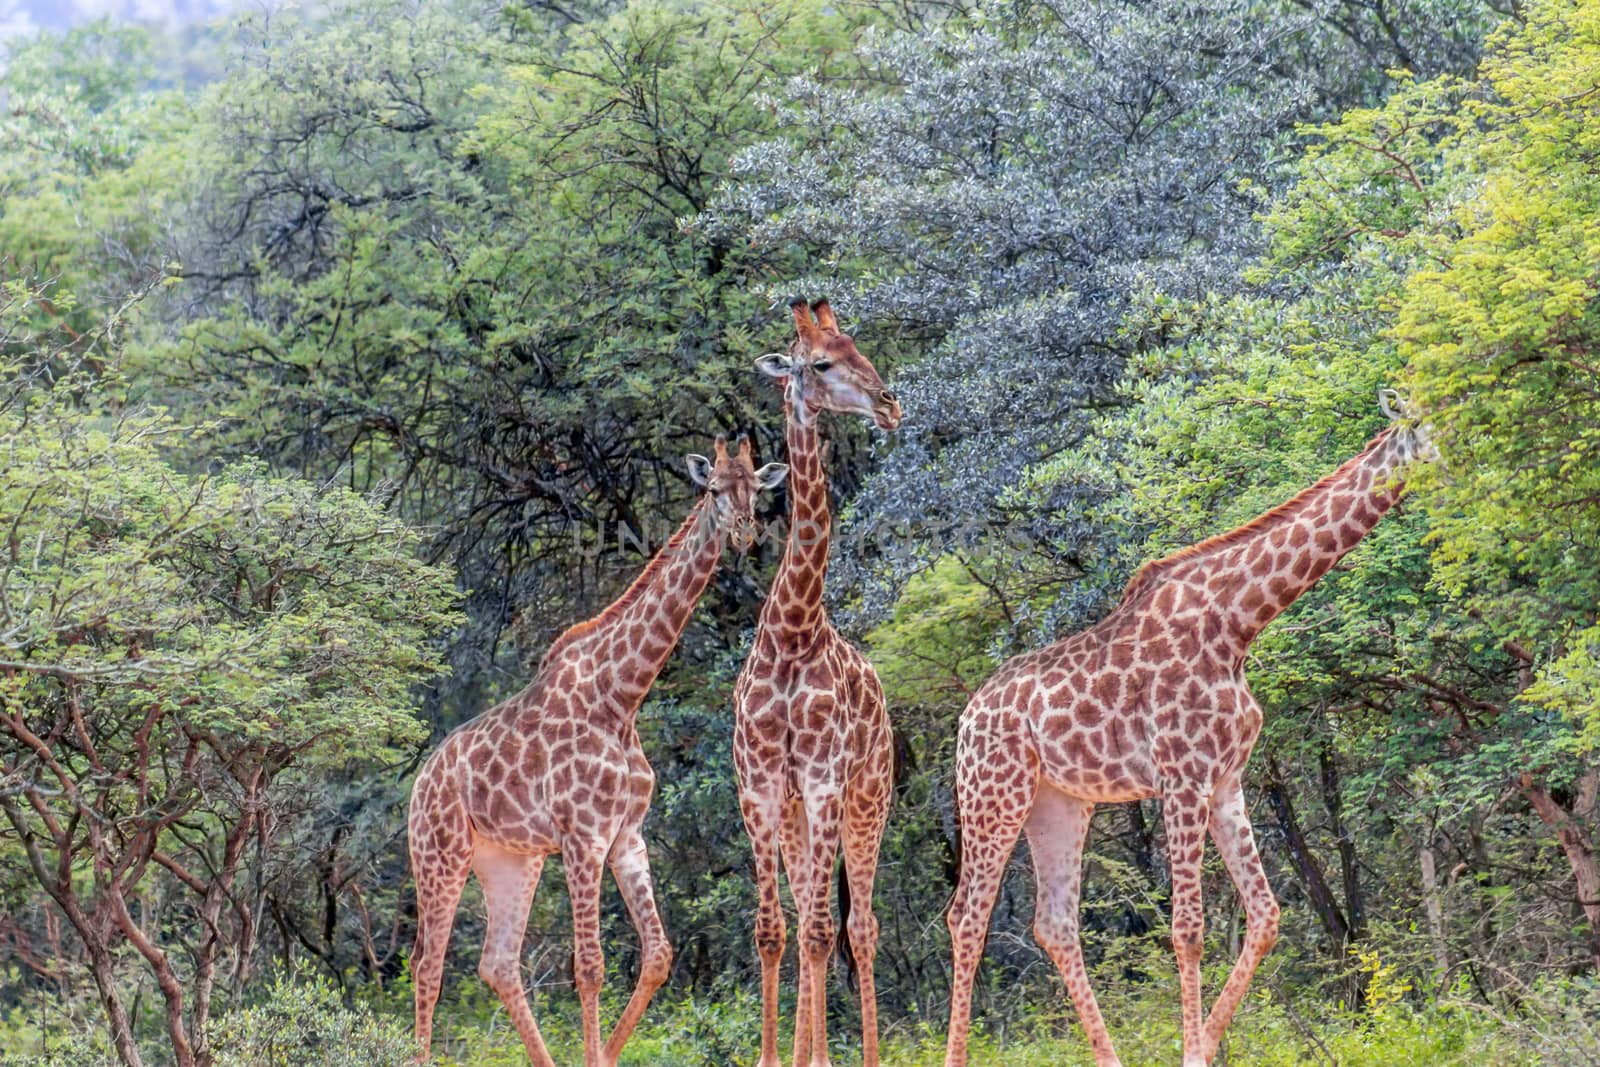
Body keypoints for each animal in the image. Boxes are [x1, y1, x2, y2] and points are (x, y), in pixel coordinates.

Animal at [406, 435, 787, 1067]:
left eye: (756, 489)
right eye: (712, 489)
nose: (743, 533)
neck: (622, 695)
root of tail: (417, 786)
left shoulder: (625, 834)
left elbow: (657, 955)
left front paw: (604, 1054)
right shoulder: (583, 836)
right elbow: (589, 967)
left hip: (511, 860)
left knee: (497, 963)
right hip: (439, 854)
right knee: (427, 964)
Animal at [934, 391, 1440, 1067]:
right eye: (1431, 422)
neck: (1238, 623)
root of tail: (966, 719)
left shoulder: (1225, 780)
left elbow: (1266, 915)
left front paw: (1201, 1047)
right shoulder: (1182, 776)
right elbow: (1188, 930)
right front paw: (1192, 1050)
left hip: (1059, 802)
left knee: (1054, 923)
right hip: (994, 793)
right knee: (966, 916)